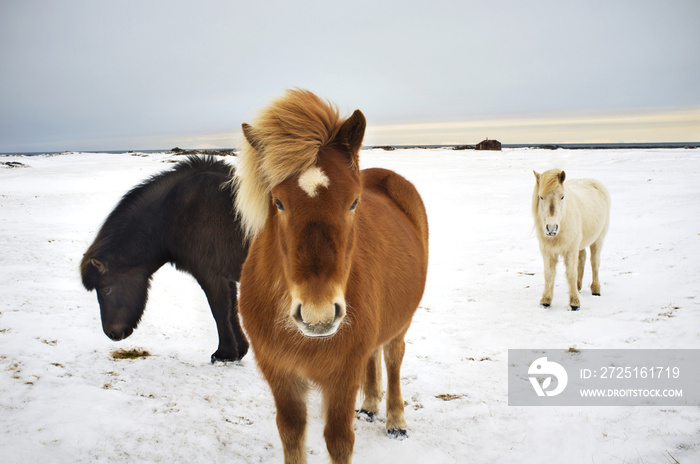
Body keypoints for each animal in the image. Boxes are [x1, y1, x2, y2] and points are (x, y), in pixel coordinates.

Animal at [81, 156, 249, 362]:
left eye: (105, 289)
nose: (111, 333)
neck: (173, 211)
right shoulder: (225, 275)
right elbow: (232, 309)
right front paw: (239, 351)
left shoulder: (209, 274)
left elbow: (219, 310)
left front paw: (224, 353)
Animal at [232, 89, 430, 462]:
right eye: (278, 202)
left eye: (354, 202)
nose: (318, 315)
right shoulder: (281, 375)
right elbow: (292, 434)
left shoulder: (342, 376)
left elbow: (339, 441)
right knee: (375, 356)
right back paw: (370, 405)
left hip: (401, 323)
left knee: (393, 357)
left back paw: (396, 420)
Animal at [532, 169, 608, 310]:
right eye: (541, 197)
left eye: (562, 196)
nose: (551, 228)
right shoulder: (547, 251)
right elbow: (549, 274)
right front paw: (546, 301)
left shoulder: (570, 250)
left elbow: (571, 273)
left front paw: (574, 303)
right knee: (582, 258)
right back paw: (578, 287)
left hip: (598, 239)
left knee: (594, 262)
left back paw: (595, 290)